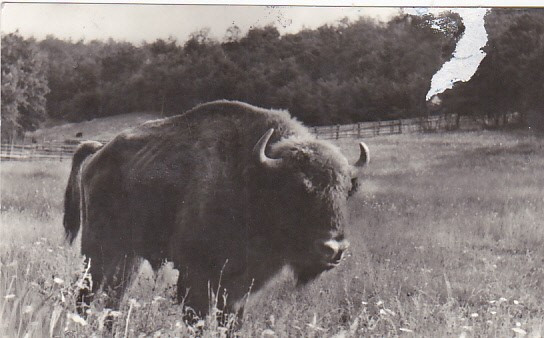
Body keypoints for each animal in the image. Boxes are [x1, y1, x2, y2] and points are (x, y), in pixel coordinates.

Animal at [65, 99, 370, 320]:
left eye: (346, 190)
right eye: (296, 188)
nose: (334, 249)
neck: (255, 178)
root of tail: (99, 151)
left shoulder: (239, 289)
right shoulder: (196, 278)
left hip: (129, 256)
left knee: (114, 297)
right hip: (98, 250)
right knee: (87, 292)